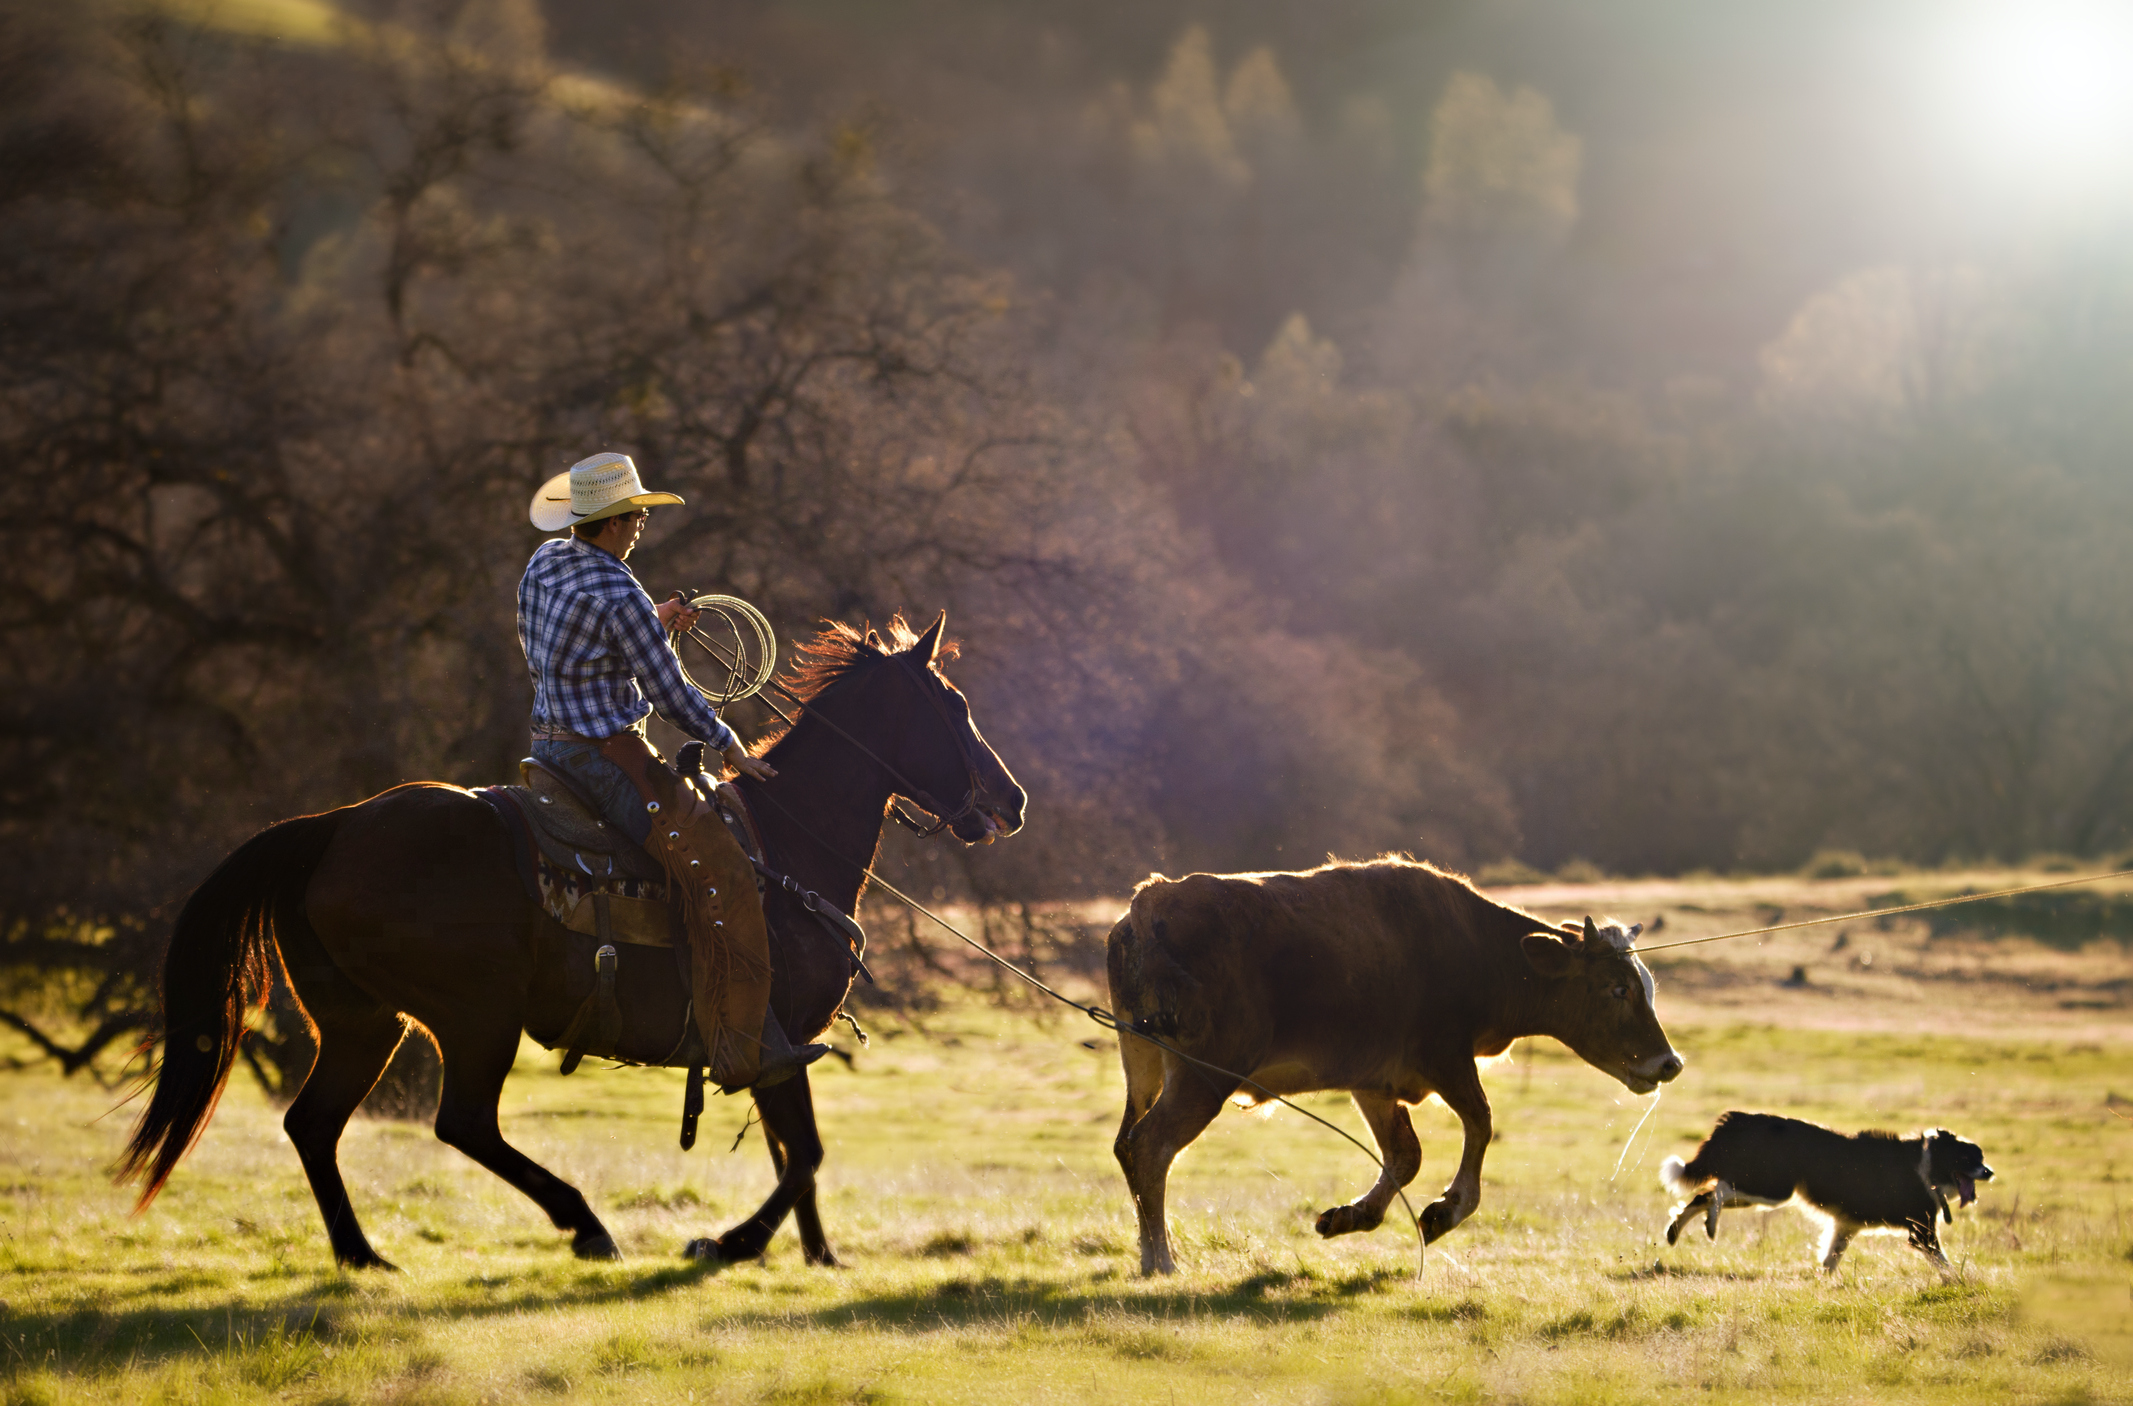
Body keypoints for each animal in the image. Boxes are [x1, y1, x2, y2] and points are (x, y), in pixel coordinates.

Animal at [112, 614, 1028, 1263]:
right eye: (953, 706)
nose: (1011, 801)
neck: (783, 847)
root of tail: (332, 826)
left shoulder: (777, 1048)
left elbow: (790, 1156)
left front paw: (816, 1256)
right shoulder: (775, 1040)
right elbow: (802, 1153)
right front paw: (727, 1243)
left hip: (362, 1023)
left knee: (314, 1124)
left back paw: (363, 1257)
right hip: (473, 1019)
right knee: (462, 1124)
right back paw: (585, 1224)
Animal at [1100, 857, 1680, 1280]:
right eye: (1617, 989)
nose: (1669, 1063)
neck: (1475, 949)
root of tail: (1148, 903)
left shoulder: (1374, 1080)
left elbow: (1406, 1154)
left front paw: (1352, 1216)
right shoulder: (1447, 1059)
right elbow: (1480, 1122)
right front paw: (1447, 1210)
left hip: (1143, 1065)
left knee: (1128, 1144)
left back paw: (1149, 1250)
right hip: (1204, 1075)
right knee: (1151, 1146)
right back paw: (1162, 1260)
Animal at [1655, 1117, 1987, 1271]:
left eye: (1980, 1157)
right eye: (1968, 1158)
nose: (1990, 1172)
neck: (1929, 1165)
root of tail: (1739, 1118)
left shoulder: (1846, 1225)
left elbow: (1830, 1259)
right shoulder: (1921, 1232)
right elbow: (1946, 1266)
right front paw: (1963, 1284)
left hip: (1763, 1187)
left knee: (1703, 1196)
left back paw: (1679, 1231)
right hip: (1772, 1187)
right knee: (1718, 1191)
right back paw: (1711, 1223)